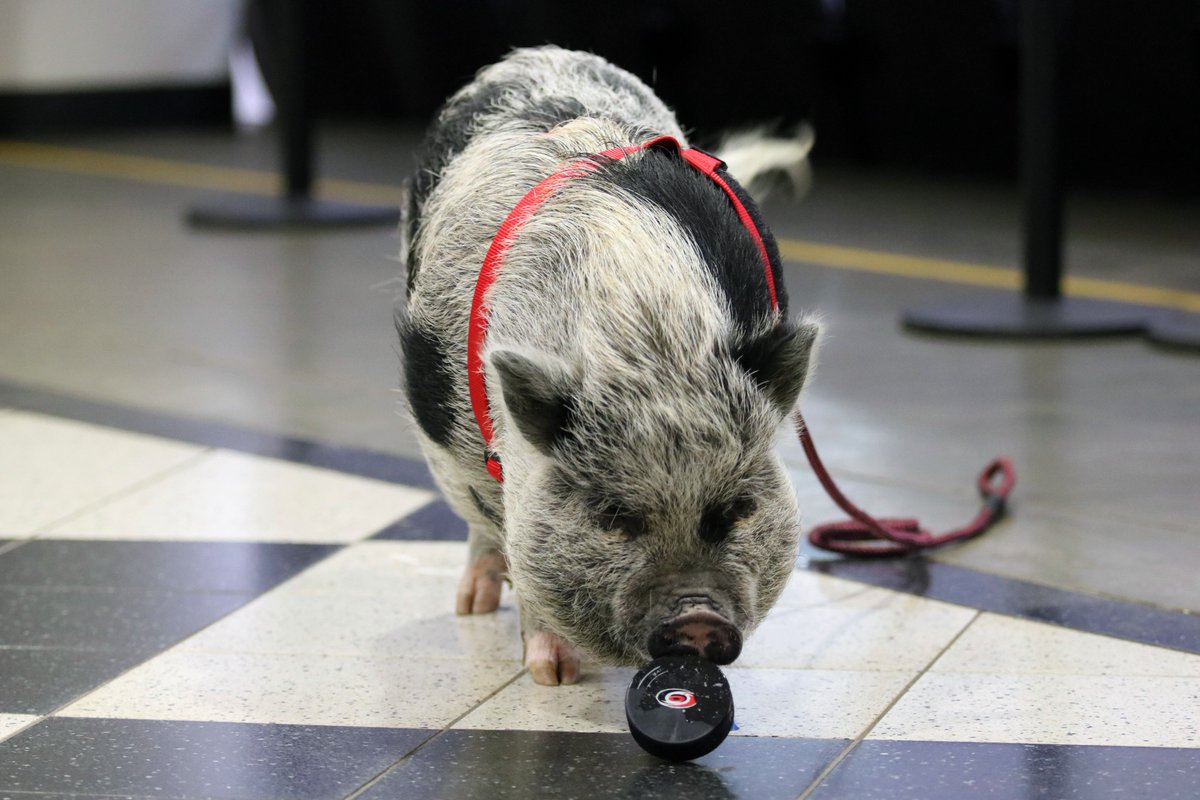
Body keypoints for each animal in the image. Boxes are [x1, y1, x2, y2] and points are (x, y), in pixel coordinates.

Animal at [398, 45, 820, 690]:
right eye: (614, 517)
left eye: (734, 511)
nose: (698, 618)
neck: (648, 343)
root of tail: (539, 52)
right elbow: (511, 532)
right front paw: (552, 676)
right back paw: (471, 607)